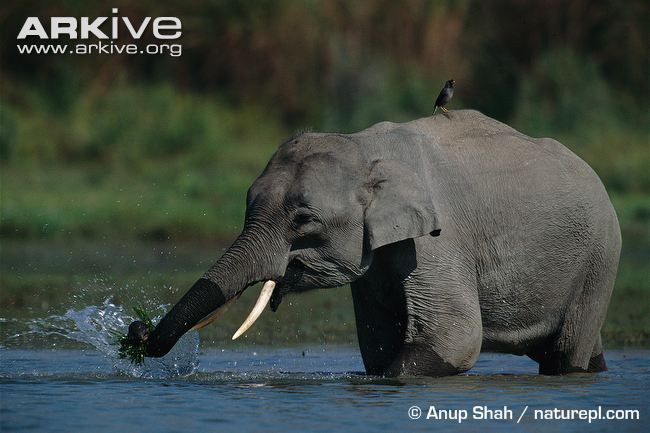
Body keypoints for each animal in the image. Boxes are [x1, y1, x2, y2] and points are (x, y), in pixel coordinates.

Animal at [127, 110, 621, 377]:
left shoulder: (439, 240)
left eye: (304, 220)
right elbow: (378, 345)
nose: (137, 334)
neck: (364, 148)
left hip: (600, 257)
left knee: (565, 353)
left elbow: (453, 340)